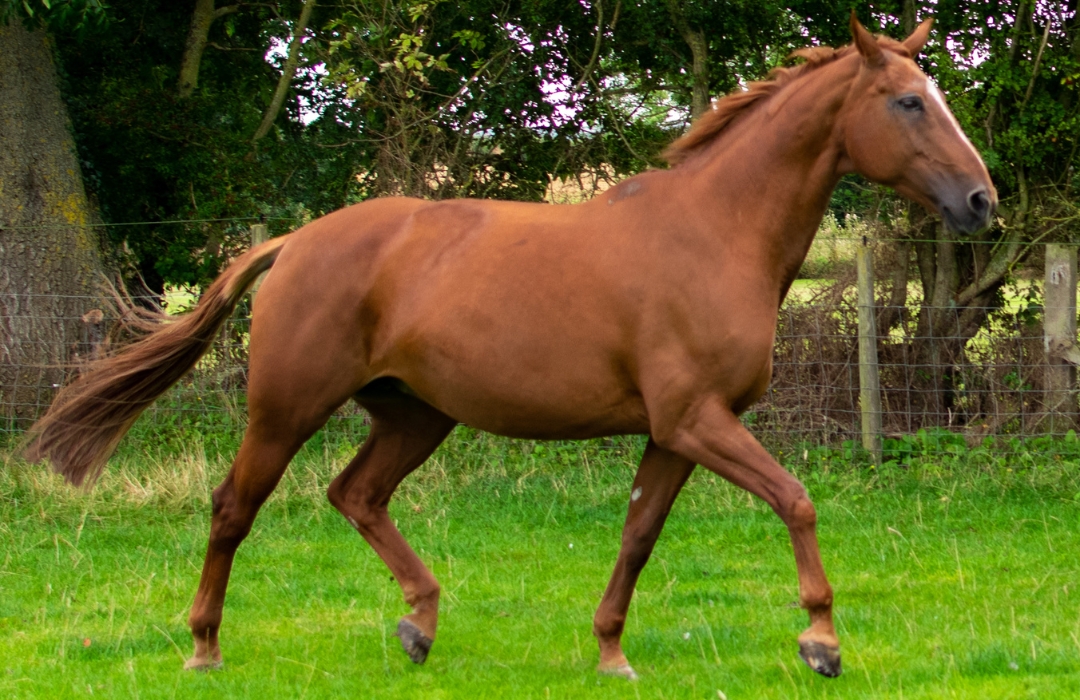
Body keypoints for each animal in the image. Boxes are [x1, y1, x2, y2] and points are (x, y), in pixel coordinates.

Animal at [25, 16, 993, 682]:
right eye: (909, 100)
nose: (981, 202)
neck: (715, 234)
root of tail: (296, 241)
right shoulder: (697, 421)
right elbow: (796, 501)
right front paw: (821, 640)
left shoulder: (676, 433)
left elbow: (639, 534)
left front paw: (610, 653)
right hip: (287, 409)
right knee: (234, 508)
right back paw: (204, 647)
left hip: (414, 416)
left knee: (355, 494)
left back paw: (419, 625)